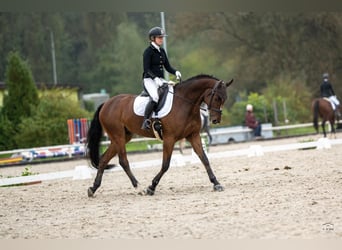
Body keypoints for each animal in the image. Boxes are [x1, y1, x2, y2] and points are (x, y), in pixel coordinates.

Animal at [87, 74, 234, 197]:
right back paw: (139, 187)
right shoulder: (169, 139)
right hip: (118, 137)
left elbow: (204, 159)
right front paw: (151, 187)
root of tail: (106, 103)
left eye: (224, 99)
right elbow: (165, 164)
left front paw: (216, 183)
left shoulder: (193, 136)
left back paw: (93, 188)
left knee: (104, 159)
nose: (215, 120)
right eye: (217, 97)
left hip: (122, 137)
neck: (185, 103)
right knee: (123, 161)